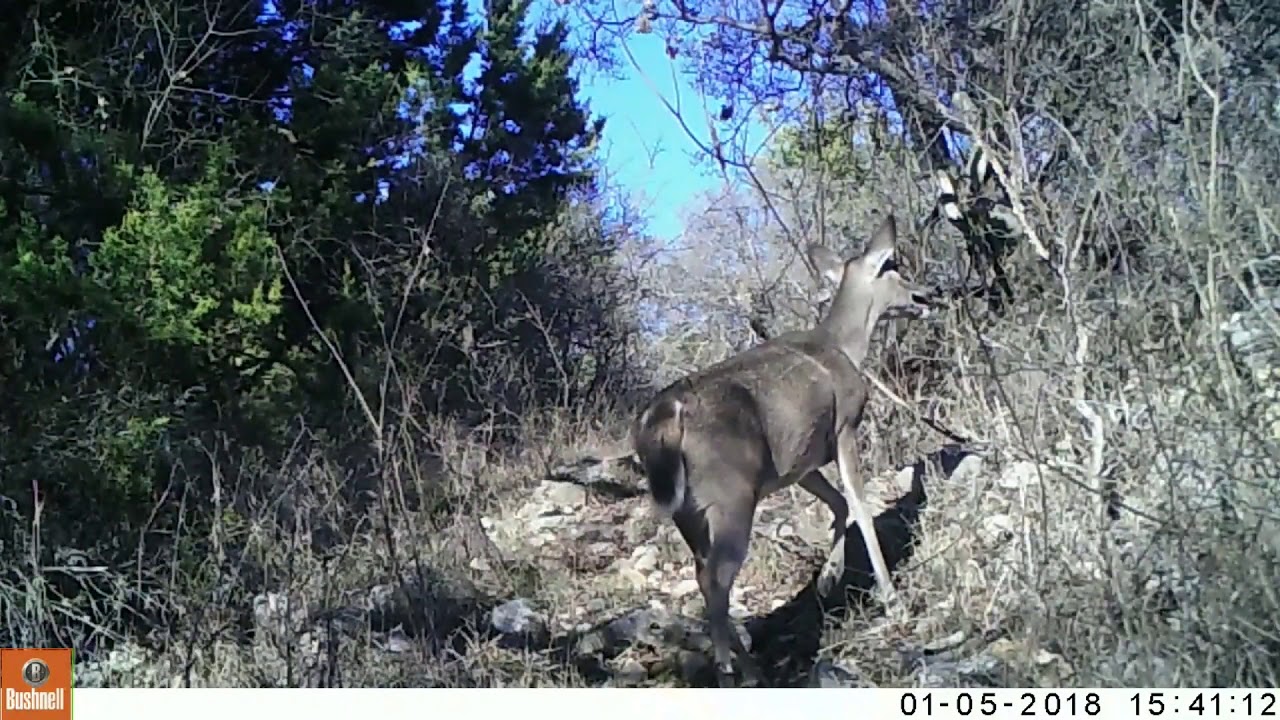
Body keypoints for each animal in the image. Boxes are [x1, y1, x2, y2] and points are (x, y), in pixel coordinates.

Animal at [629, 213, 934, 686]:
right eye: (892, 267)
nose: (925, 295)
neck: (846, 346)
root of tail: (666, 416)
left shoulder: (800, 460)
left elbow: (838, 504)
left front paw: (828, 579)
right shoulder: (844, 426)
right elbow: (860, 505)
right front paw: (891, 597)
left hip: (687, 509)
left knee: (702, 573)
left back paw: (747, 663)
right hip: (730, 495)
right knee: (717, 578)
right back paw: (730, 670)